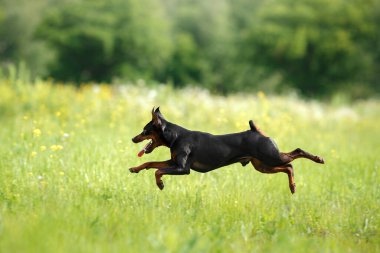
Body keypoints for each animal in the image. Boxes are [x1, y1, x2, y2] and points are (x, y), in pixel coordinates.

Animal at [131, 107, 324, 194]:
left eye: (145, 131)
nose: (133, 138)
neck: (176, 136)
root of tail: (257, 132)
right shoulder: (172, 162)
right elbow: (150, 163)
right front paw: (135, 168)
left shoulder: (182, 169)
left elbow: (157, 171)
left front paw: (160, 184)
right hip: (263, 166)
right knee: (289, 167)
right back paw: (292, 186)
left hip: (272, 157)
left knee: (296, 153)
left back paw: (318, 159)